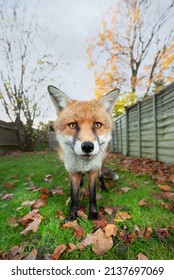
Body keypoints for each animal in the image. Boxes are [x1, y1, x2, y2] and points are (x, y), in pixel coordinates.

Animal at [48, 85, 119, 221]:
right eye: (72, 125)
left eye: (97, 125)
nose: (87, 146)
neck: (84, 164)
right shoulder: (72, 171)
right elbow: (74, 196)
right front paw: (72, 215)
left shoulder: (93, 170)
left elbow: (92, 194)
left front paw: (93, 213)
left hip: (100, 165)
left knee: (101, 176)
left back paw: (104, 187)